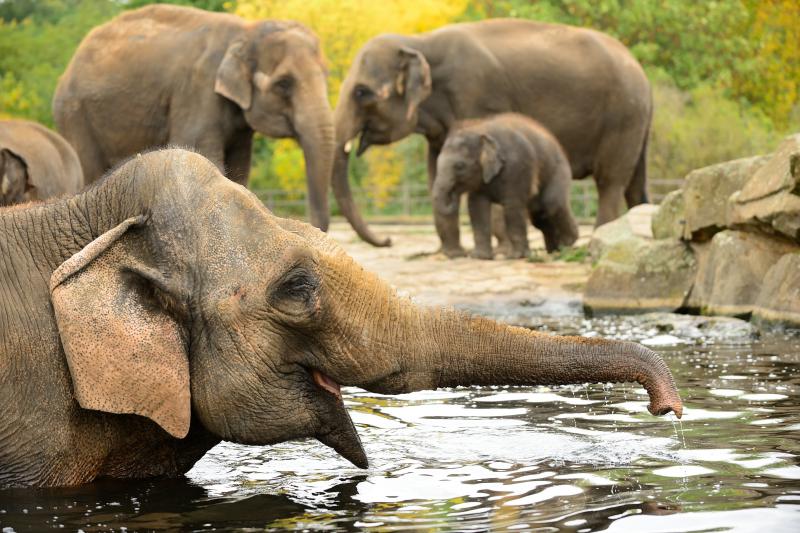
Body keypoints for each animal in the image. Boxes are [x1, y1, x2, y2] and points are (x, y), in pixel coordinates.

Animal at [53, 3, 334, 229]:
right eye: (284, 83)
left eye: (326, 74)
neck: (244, 32)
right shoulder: (198, 92)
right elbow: (206, 158)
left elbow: (240, 168)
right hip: (75, 115)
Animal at [434, 113, 580, 258]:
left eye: (459, 166)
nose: (453, 193)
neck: (480, 130)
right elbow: (476, 207)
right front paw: (480, 257)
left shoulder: (518, 166)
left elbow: (512, 206)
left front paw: (516, 256)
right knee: (539, 216)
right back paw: (554, 250)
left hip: (559, 169)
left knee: (552, 203)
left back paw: (567, 244)